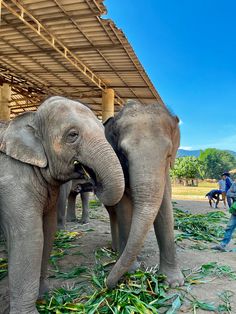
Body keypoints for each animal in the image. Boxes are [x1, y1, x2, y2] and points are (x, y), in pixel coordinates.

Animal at [0, 96, 125, 314]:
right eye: (72, 135)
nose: (89, 178)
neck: (32, 117)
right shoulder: (12, 180)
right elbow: (29, 237)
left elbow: (47, 232)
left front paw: (43, 295)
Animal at [104, 100, 184, 290]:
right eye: (123, 154)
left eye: (169, 155)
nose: (107, 284)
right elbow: (124, 209)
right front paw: (132, 270)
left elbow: (165, 210)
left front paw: (174, 283)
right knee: (113, 213)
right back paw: (116, 250)